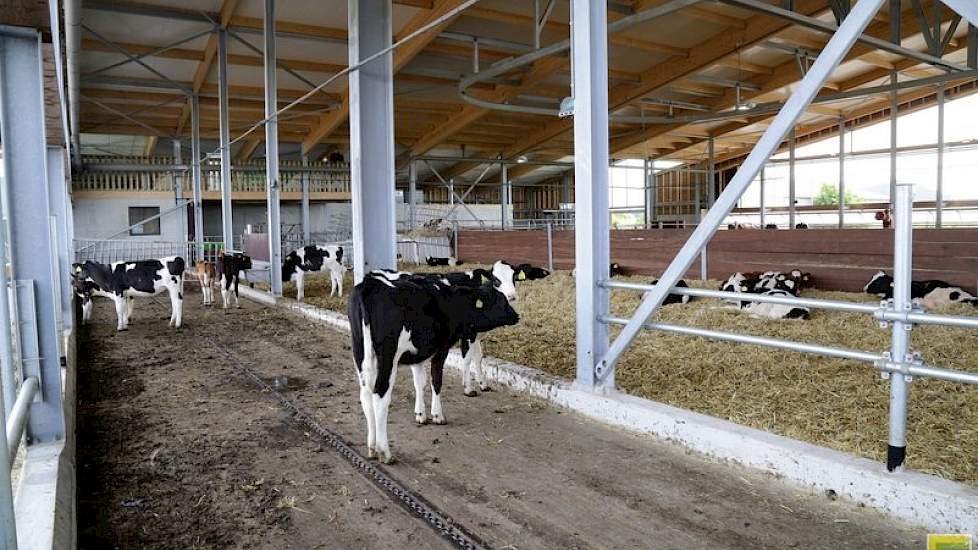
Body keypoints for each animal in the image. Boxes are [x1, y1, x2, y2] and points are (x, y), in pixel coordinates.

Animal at [348, 270, 520, 464]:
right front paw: (438, 415)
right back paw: (384, 451)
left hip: (360, 352)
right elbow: (436, 380)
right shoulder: (442, 347)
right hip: (388, 356)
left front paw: (421, 414)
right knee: (380, 396)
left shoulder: (417, 353)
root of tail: (370, 284)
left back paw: (371, 447)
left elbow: (419, 382)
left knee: (365, 395)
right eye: (502, 301)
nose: (516, 316)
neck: (452, 298)